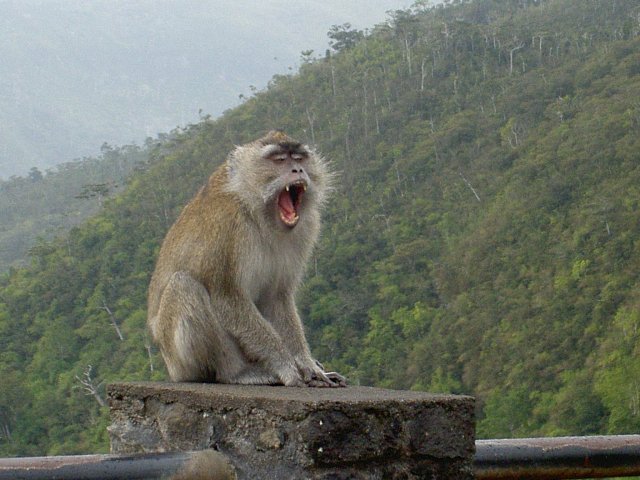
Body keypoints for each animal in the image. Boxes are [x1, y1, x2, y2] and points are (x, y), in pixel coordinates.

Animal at [147, 130, 344, 386]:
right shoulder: (228, 228)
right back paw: (237, 373)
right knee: (184, 286)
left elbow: (277, 297)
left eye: (299, 158)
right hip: (178, 358)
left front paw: (308, 364)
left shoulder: (307, 227)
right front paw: (286, 366)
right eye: (279, 159)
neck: (257, 212)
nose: (298, 170)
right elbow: (229, 298)